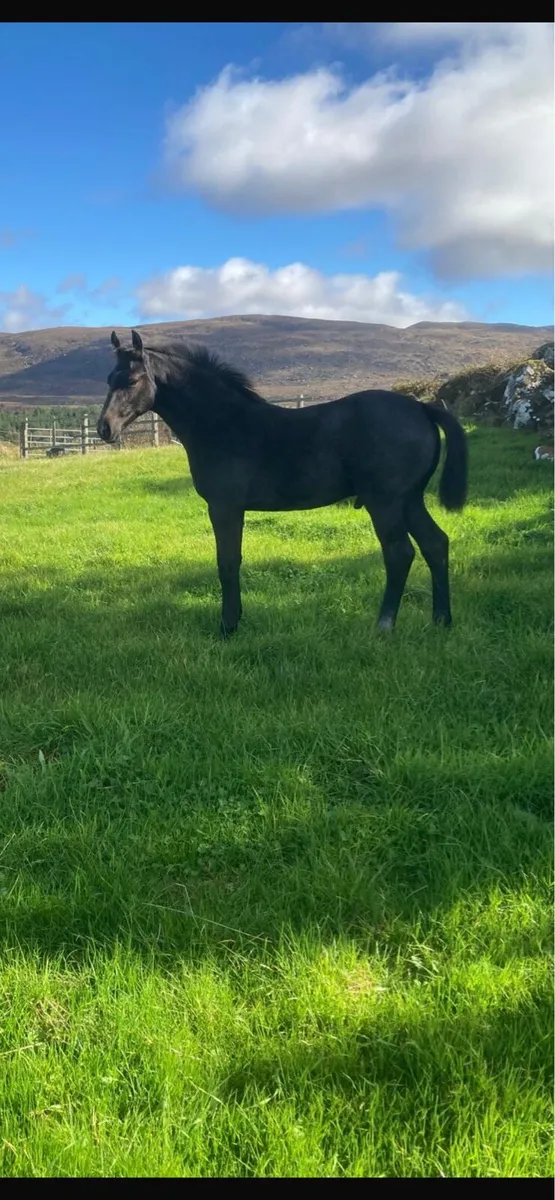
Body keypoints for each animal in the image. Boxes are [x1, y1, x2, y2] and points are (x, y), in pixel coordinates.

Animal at [97, 330, 468, 638]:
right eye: (109, 379)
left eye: (132, 380)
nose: (105, 429)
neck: (223, 423)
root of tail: (421, 408)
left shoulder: (224, 506)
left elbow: (227, 562)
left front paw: (228, 627)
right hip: (410, 499)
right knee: (436, 544)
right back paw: (442, 620)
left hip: (386, 502)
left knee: (399, 553)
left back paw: (384, 626)